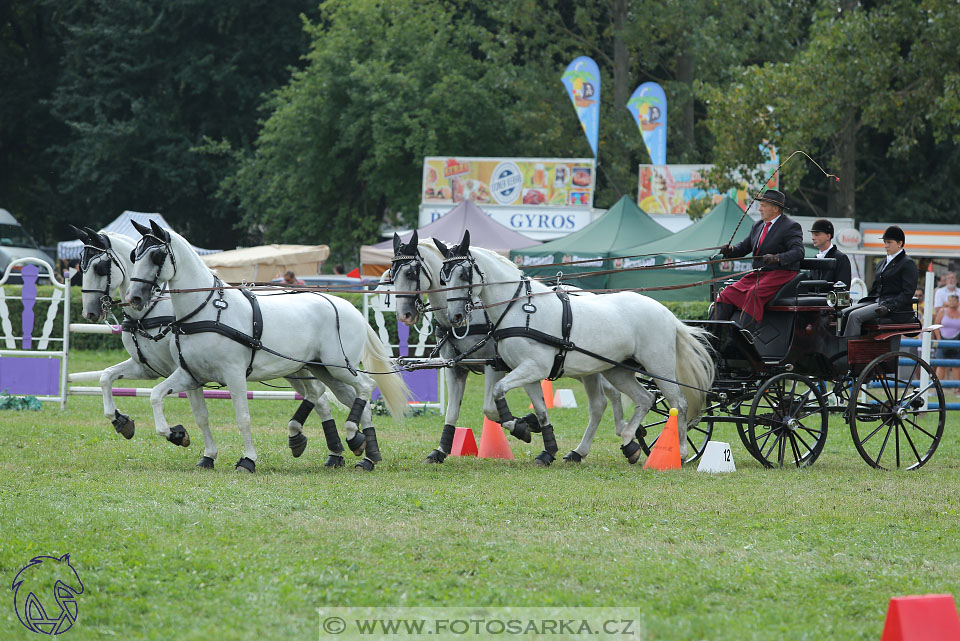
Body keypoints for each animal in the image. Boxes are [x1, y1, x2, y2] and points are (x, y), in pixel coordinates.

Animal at [71, 228, 350, 468]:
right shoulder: (149, 368)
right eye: (80, 266)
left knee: (321, 395)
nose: (90, 312)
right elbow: (107, 377)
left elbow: (201, 413)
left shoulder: (183, 371)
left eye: (100, 267)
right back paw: (324, 448)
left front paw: (177, 434)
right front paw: (122, 422)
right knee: (320, 398)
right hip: (295, 368)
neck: (156, 311)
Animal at [124, 219, 408, 470]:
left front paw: (248, 460)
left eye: (157, 256)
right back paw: (366, 453)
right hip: (323, 370)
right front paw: (181, 437)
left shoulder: (234, 374)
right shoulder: (189, 375)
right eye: (134, 255)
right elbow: (163, 398)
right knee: (351, 400)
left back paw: (354, 439)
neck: (207, 311)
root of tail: (350, 307)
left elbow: (243, 418)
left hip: (339, 366)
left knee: (366, 386)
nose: (134, 298)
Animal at [388, 231, 624, 464]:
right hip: (580, 367)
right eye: (391, 275)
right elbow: (452, 412)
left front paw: (525, 425)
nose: (404, 315)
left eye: (410, 272)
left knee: (605, 398)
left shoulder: (494, 365)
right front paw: (440, 450)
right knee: (608, 396)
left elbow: (490, 409)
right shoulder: (456, 368)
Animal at [436, 232, 712, 462]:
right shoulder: (529, 373)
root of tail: (666, 313)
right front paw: (543, 446)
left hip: (659, 367)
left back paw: (681, 452)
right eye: (443, 276)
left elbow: (498, 391)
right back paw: (626, 441)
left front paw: (520, 427)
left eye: (464, 274)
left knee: (678, 403)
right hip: (617, 370)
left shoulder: (533, 367)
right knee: (644, 398)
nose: (455, 316)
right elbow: (540, 410)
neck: (520, 308)